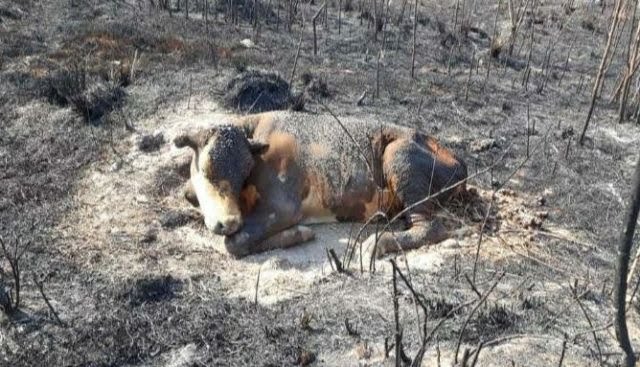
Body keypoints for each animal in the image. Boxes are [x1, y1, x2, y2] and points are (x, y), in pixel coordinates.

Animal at [172, 112, 468, 258]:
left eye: (246, 171)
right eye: (207, 167)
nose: (229, 221)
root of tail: (460, 161)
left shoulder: (283, 206)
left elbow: (235, 242)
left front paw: (300, 233)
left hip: (399, 157)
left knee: (431, 226)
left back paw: (378, 243)